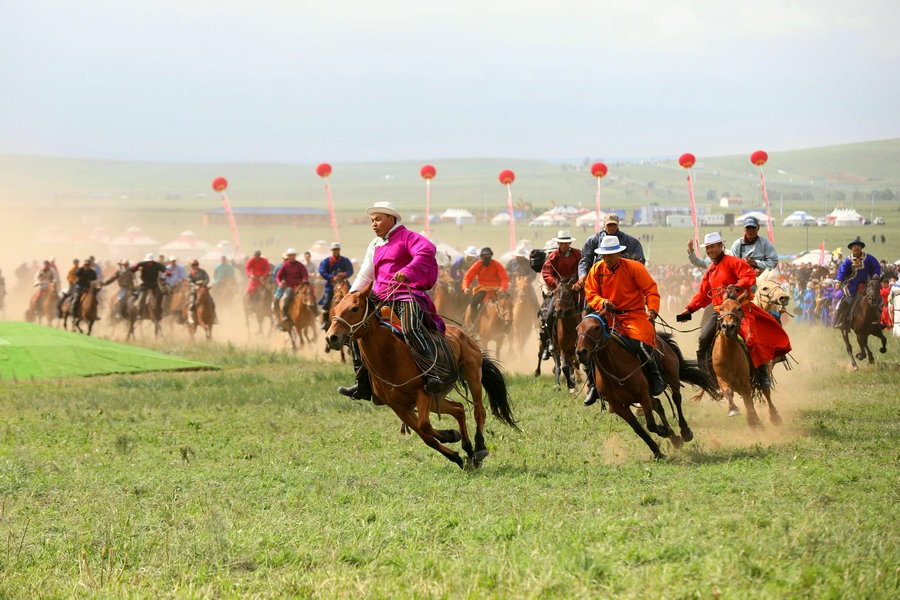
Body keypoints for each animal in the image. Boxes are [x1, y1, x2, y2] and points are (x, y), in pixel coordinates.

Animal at [325, 284, 519, 469]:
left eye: (354, 308)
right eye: (336, 309)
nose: (331, 338)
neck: (389, 356)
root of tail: (463, 334)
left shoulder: (422, 393)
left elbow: (424, 425)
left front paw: (450, 435)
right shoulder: (398, 406)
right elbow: (425, 435)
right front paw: (455, 454)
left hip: (472, 374)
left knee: (479, 411)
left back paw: (478, 448)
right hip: (436, 399)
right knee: (458, 408)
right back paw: (468, 450)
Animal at [575, 313, 718, 459]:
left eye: (597, 327)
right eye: (577, 329)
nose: (581, 352)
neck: (614, 369)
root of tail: (659, 338)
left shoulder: (643, 396)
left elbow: (651, 425)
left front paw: (664, 432)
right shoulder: (617, 406)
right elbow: (639, 430)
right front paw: (657, 452)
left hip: (672, 378)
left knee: (676, 399)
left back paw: (685, 431)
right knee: (658, 404)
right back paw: (675, 439)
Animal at [714, 291, 782, 429]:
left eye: (739, 308)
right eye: (721, 308)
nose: (728, 327)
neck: (728, 356)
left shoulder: (745, 382)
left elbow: (748, 402)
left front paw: (755, 422)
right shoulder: (722, 379)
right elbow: (728, 392)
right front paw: (733, 409)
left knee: (766, 392)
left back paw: (774, 417)